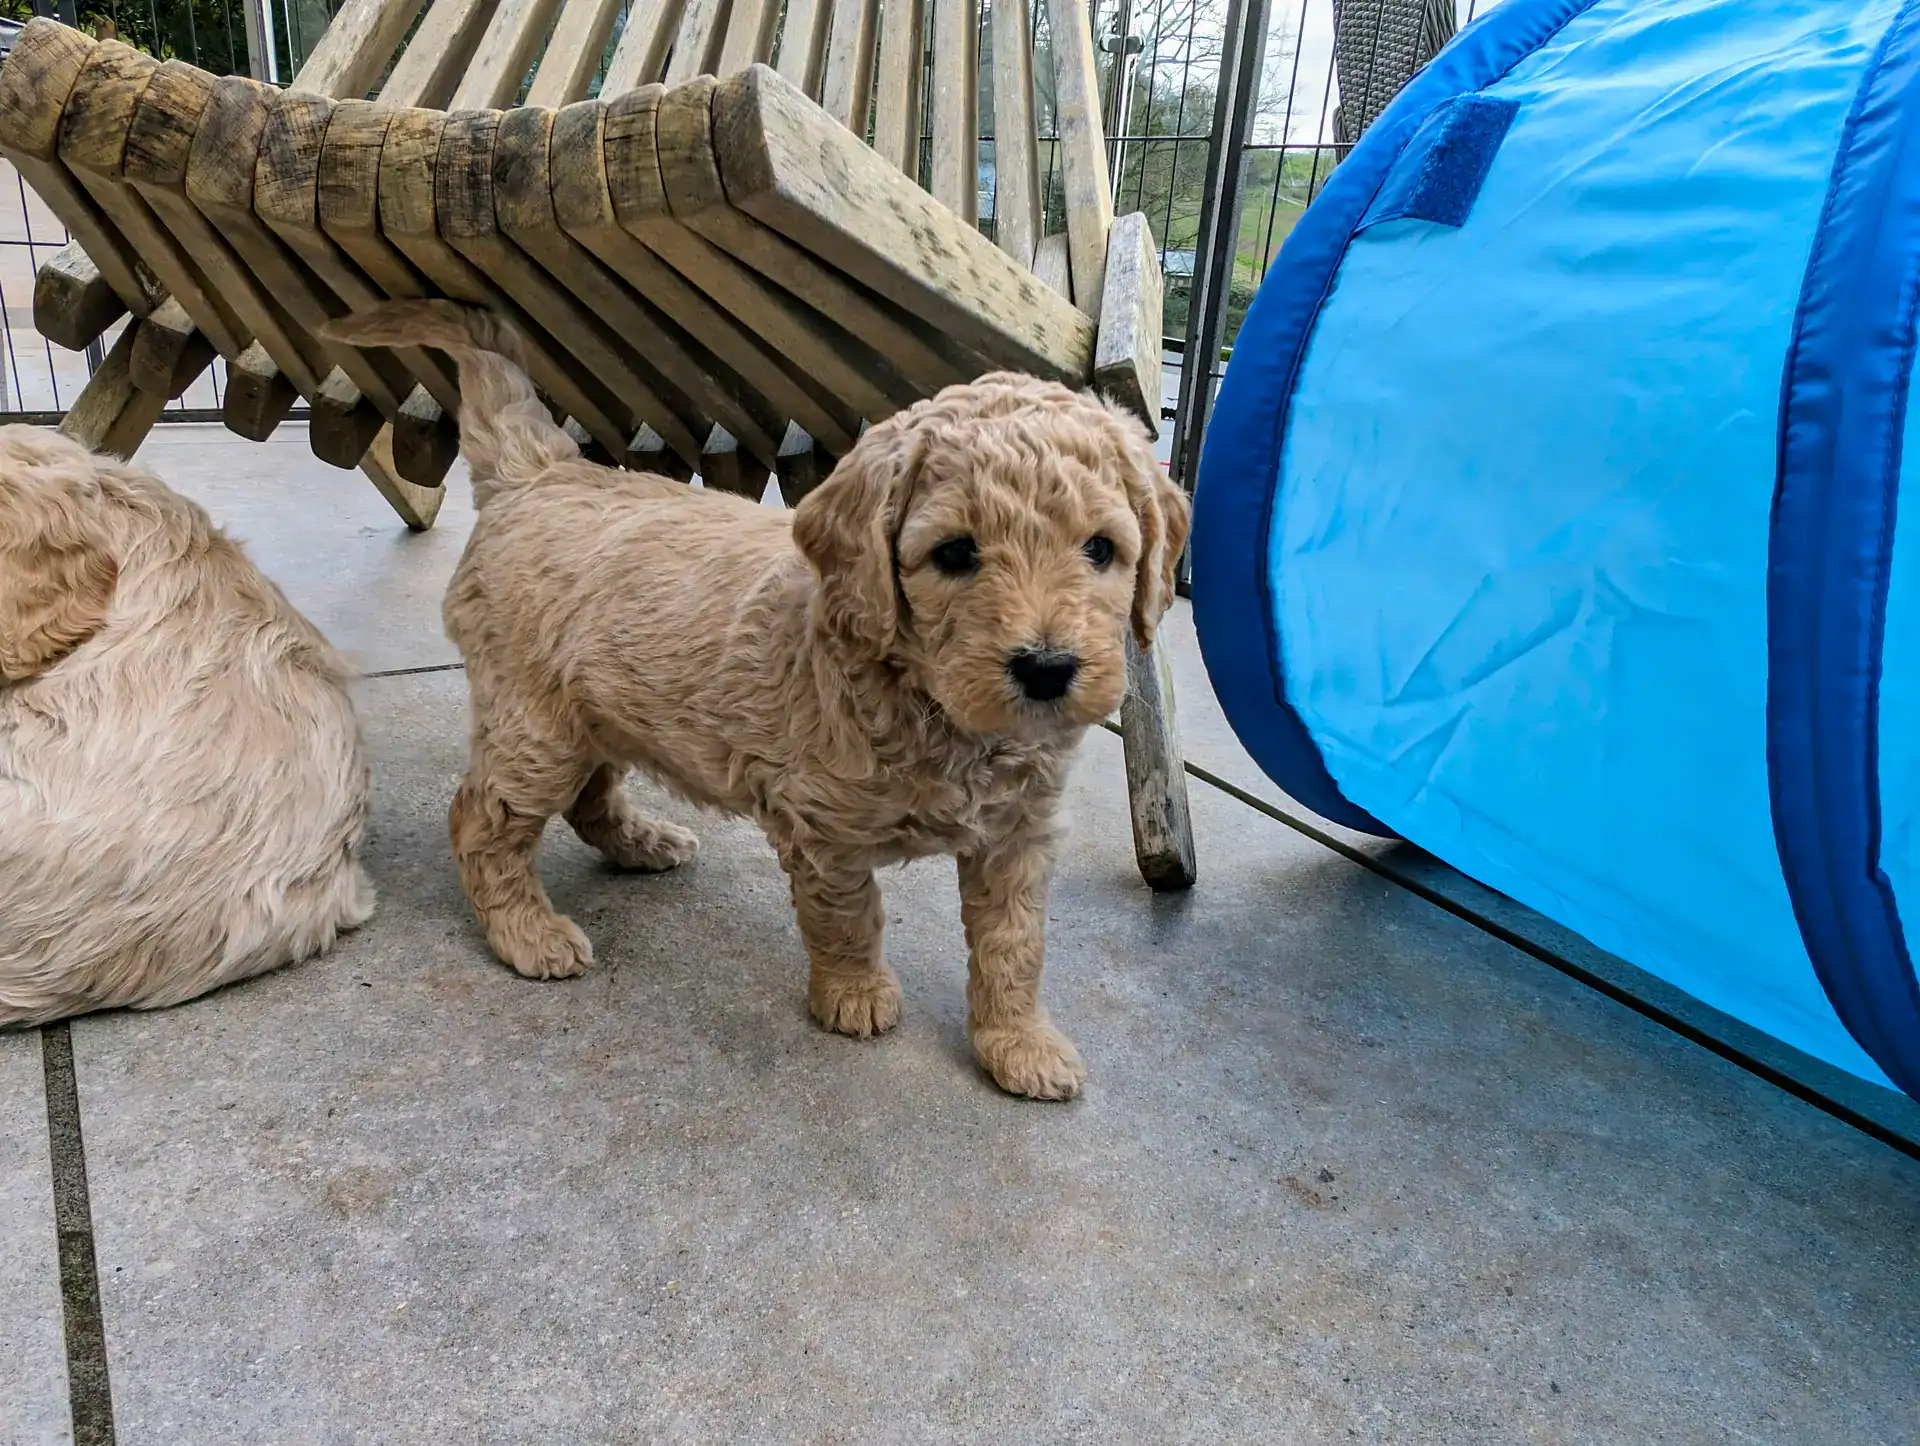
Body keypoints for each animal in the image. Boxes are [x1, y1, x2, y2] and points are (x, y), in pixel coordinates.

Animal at [321, 301, 1189, 1099]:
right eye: (955, 554)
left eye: (1101, 549)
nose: (1046, 668)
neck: (933, 706)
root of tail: (542, 469)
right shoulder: (822, 825)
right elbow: (849, 913)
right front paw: (854, 993)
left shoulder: (1019, 836)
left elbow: (1016, 945)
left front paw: (1019, 1042)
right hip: (535, 725)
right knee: (481, 819)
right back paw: (526, 932)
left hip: (593, 708)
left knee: (589, 793)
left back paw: (640, 843)